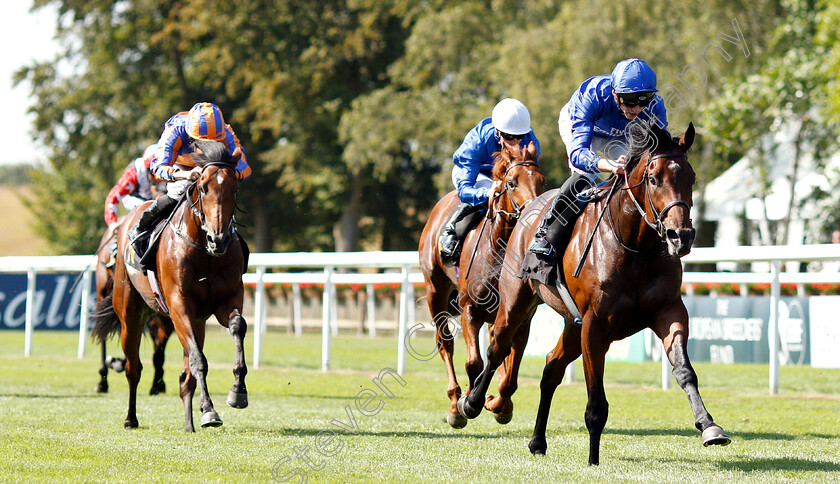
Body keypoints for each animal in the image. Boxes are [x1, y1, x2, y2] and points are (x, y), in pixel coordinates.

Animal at [418, 140, 544, 428]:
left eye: (542, 181)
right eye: (511, 182)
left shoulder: (523, 315)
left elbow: (510, 366)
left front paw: (499, 404)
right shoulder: (469, 309)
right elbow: (474, 362)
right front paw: (468, 401)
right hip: (435, 290)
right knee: (445, 343)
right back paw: (455, 402)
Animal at [460, 122, 728, 466]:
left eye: (691, 178)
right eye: (654, 178)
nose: (680, 236)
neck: (633, 247)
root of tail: (528, 208)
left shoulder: (668, 311)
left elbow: (685, 371)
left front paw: (709, 426)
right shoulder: (595, 324)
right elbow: (596, 404)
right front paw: (593, 460)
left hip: (571, 325)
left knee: (551, 367)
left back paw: (537, 441)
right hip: (516, 303)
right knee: (497, 347)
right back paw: (472, 403)